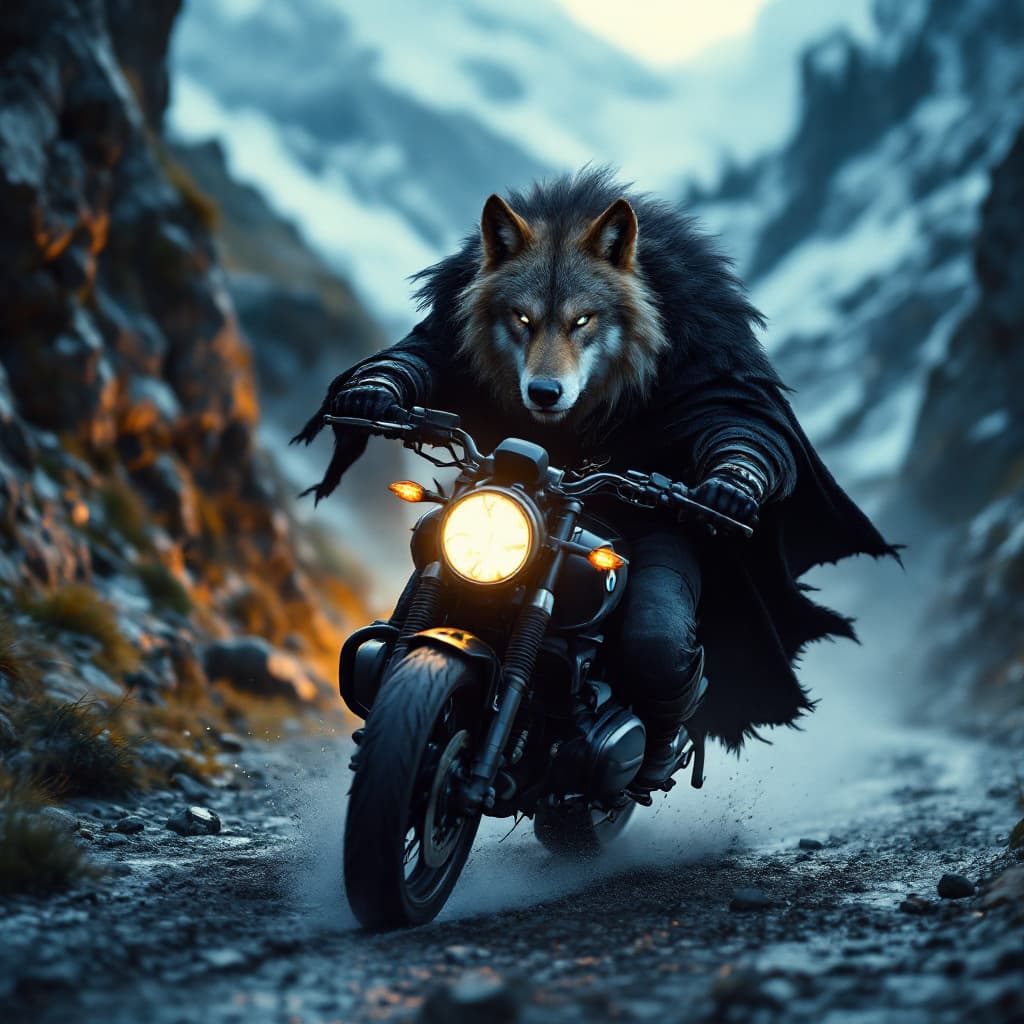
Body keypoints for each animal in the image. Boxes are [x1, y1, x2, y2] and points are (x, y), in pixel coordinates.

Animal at [296, 167, 897, 790]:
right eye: (521, 318)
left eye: (582, 320)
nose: (543, 393)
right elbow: (424, 355)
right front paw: (373, 392)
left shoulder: (709, 363)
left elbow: (740, 418)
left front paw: (730, 486)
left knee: (665, 664)